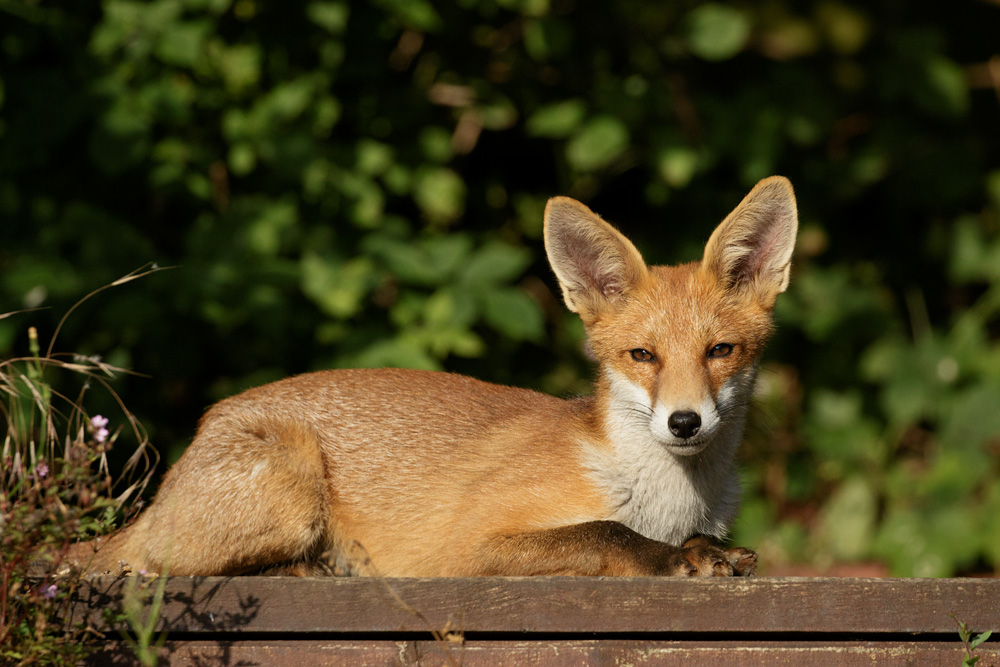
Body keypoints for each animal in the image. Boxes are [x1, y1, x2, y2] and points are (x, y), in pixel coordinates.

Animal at [68, 176, 797, 578]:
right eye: (642, 355)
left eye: (721, 350)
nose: (684, 421)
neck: (664, 501)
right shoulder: (469, 547)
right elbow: (604, 533)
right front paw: (670, 557)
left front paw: (706, 550)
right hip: (292, 479)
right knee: (151, 567)